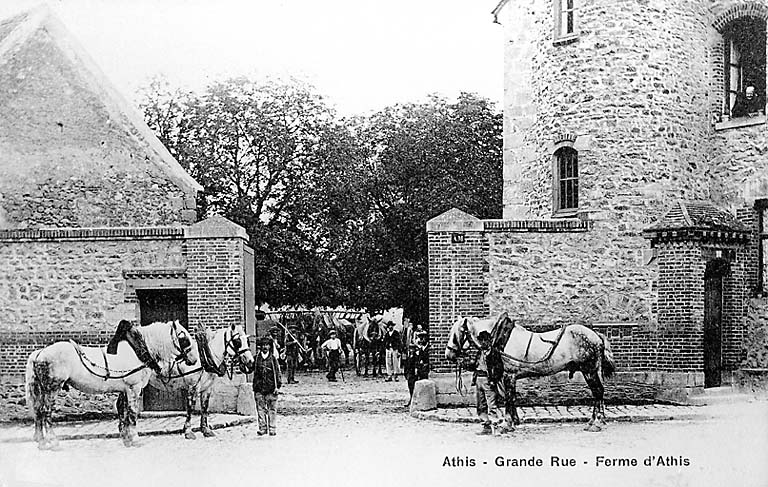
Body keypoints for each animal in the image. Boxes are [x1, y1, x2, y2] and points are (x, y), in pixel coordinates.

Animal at [25, 320, 196, 450]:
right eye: (184, 337)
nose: (194, 360)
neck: (138, 351)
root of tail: (39, 353)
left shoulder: (125, 390)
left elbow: (124, 412)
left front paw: (127, 439)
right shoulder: (134, 388)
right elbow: (132, 413)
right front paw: (135, 438)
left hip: (41, 389)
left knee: (38, 411)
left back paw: (41, 442)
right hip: (52, 388)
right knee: (46, 412)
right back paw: (53, 441)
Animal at [444, 316, 616, 434]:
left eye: (458, 332)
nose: (449, 354)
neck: (501, 340)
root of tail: (596, 335)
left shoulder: (509, 375)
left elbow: (508, 399)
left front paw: (507, 424)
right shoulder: (509, 378)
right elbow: (512, 398)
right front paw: (514, 421)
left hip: (589, 371)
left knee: (598, 392)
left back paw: (596, 423)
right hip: (593, 371)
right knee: (599, 393)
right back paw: (595, 421)